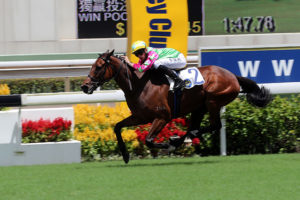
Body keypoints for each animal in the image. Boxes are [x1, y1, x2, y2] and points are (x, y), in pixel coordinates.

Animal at [80, 49, 272, 163]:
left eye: (98, 67)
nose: (84, 86)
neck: (138, 84)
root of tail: (233, 76)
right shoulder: (140, 116)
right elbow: (117, 127)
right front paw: (126, 155)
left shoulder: (162, 117)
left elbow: (149, 140)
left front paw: (166, 146)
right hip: (199, 107)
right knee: (195, 128)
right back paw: (178, 140)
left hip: (213, 101)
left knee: (214, 125)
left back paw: (175, 141)